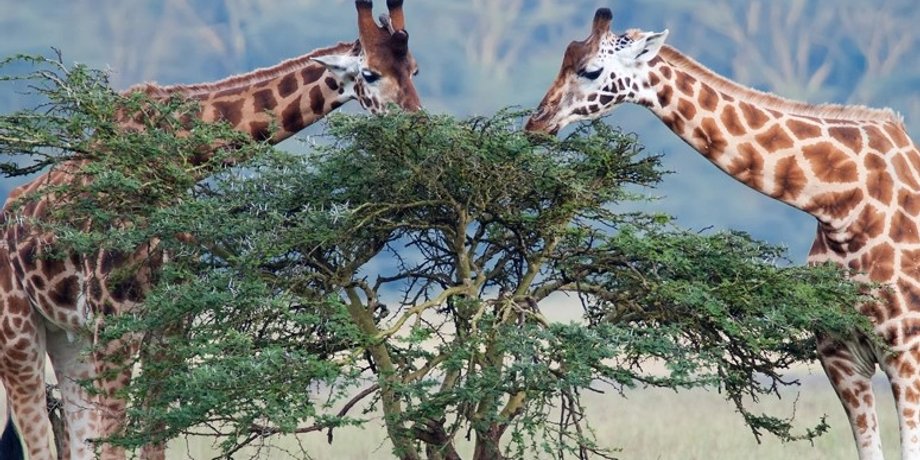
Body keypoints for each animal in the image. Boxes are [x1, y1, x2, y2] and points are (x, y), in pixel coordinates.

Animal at [0, 1, 420, 459]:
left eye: (414, 68)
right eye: (370, 74)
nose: (416, 125)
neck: (179, 158)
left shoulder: (172, 322)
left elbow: (153, 439)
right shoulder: (114, 322)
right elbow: (115, 444)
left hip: (67, 335)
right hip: (17, 334)